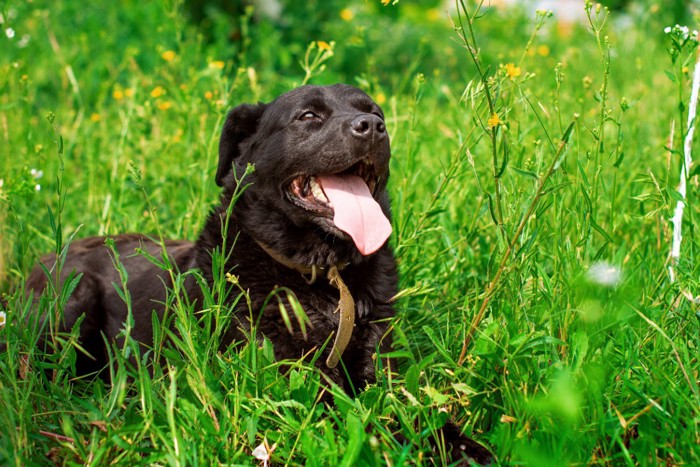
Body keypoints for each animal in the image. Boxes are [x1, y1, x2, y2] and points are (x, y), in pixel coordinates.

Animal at [23, 83, 492, 464]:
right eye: (309, 116)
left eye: (375, 111)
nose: (373, 127)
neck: (321, 276)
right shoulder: (289, 380)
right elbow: (363, 416)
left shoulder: (382, 369)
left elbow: (411, 408)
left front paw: (459, 444)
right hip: (71, 306)